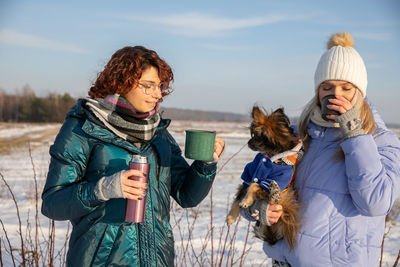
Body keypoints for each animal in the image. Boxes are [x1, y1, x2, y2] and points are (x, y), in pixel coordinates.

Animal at [227, 105, 302, 250]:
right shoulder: (248, 177)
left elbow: (254, 185)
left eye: (255, 136)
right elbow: (239, 196)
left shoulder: (271, 181)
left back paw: (274, 193)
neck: (271, 156)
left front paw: (246, 201)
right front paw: (231, 217)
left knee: (276, 200)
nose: (248, 143)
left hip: (283, 199)